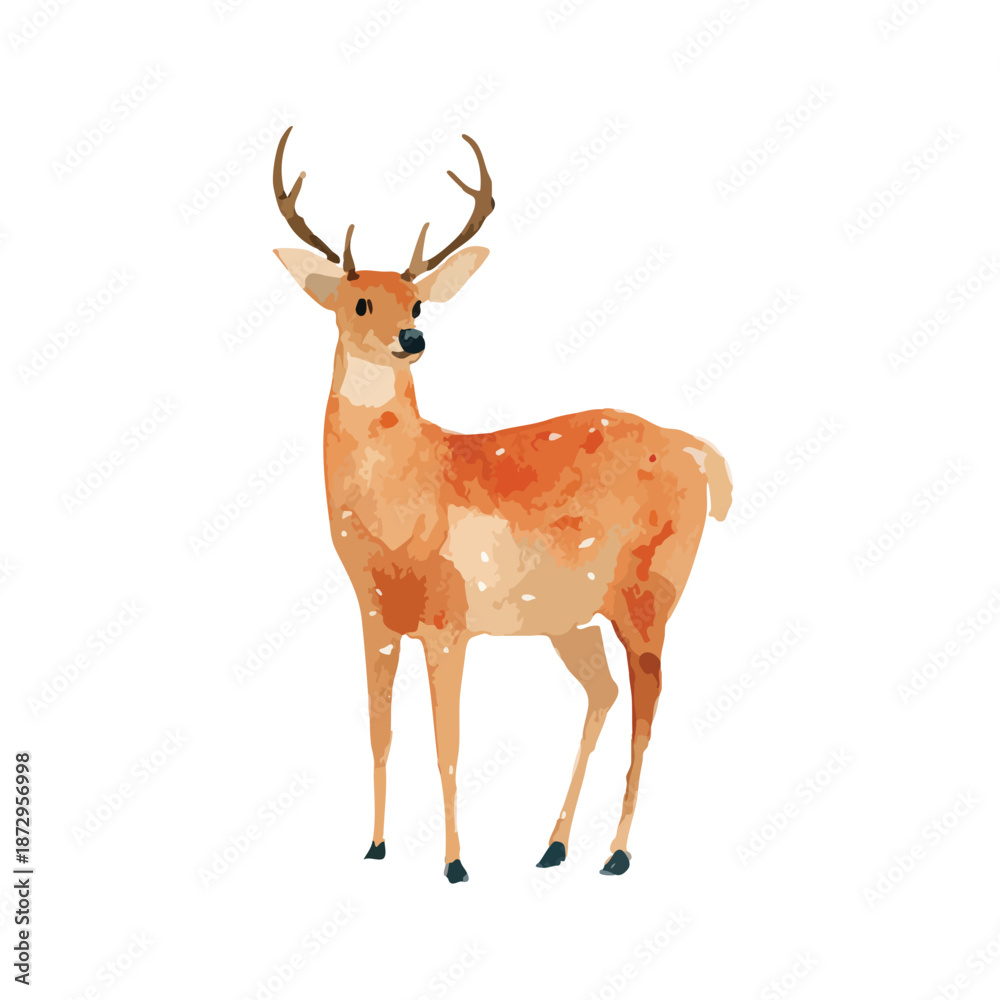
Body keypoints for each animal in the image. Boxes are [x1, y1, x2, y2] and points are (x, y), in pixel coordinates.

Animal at [271, 127, 732, 883]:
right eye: (358, 303)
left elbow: (447, 741)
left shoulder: (450, 619)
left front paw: (455, 865)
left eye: (418, 303)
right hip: (570, 617)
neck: (403, 508)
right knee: (604, 692)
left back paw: (616, 854)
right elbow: (379, 731)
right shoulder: (373, 614)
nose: (413, 340)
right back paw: (553, 846)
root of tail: (700, 455)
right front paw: (375, 846)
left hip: (651, 590)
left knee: (649, 699)